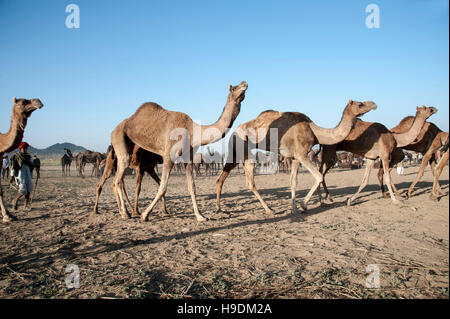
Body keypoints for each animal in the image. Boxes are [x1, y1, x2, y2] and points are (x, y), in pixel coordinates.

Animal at [110, 81, 248, 221]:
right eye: (234, 88)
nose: (244, 83)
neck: (193, 131)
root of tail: (114, 130)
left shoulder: (188, 158)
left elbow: (192, 187)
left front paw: (200, 216)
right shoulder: (168, 156)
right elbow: (163, 187)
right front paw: (145, 215)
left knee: (116, 181)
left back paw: (125, 212)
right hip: (119, 138)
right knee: (118, 179)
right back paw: (125, 213)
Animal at [214, 100, 376, 215]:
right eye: (360, 104)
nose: (374, 103)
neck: (315, 131)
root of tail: (234, 132)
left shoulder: (295, 158)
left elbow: (293, 181)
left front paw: (294, 208)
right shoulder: (302, 154)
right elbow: (318, 176)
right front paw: (303, 205)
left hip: (236, 153)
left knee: (222, 178)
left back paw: (219, 208)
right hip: (243, 149)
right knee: (249, 182)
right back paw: (269, 210)